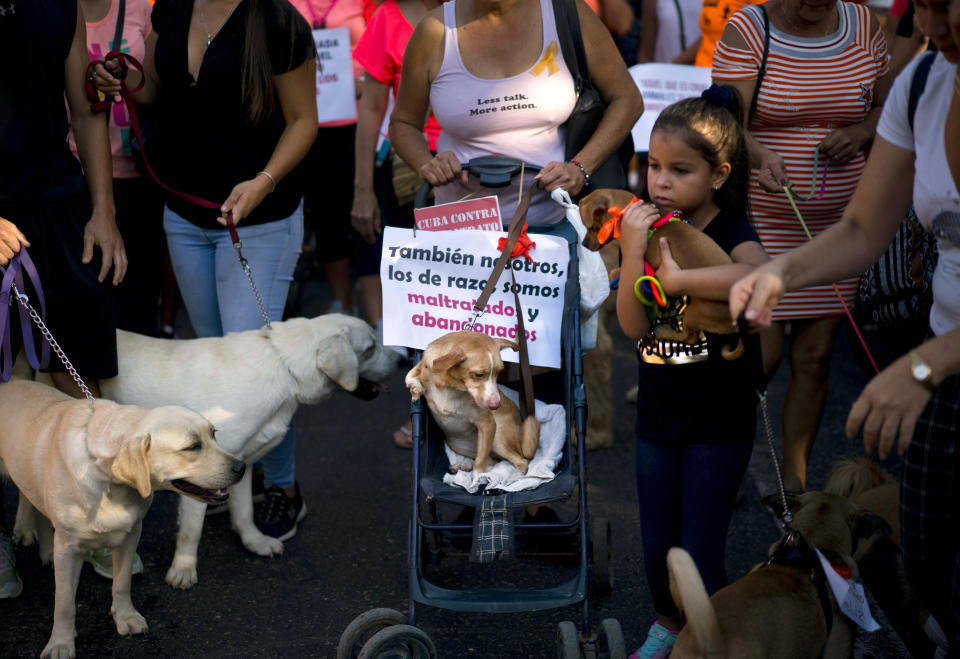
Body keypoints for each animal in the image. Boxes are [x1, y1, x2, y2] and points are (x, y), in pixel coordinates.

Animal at [0, 378, 240, 659]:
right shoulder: (68, 549)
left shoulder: (131, 534)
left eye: (214, 434)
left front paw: (125, 617)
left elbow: (122, 582)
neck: (109, 482)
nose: (242, 467)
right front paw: (60, 643)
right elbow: (64, 602)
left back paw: (46, 548)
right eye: (192, 447)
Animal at [93, 314, 398, 588]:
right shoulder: (202, 473)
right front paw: (183, 569)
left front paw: (254, 541)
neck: (283, 366)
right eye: (370, 347)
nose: (402, 360)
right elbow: (192, 530)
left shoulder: (240, 464)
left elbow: (244, 511)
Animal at [404, 336, 540, 474]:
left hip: (497, 439)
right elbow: (410, 374)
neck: (448, 387)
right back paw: (464, 465)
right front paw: (416, 388)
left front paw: (478, 477)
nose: (496, 405)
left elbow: (480, 464)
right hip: (457, 445)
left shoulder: (488, 423)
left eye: (499, 372)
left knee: (521, 461)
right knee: (493, 460)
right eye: (479, 374)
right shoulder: (421, 366)